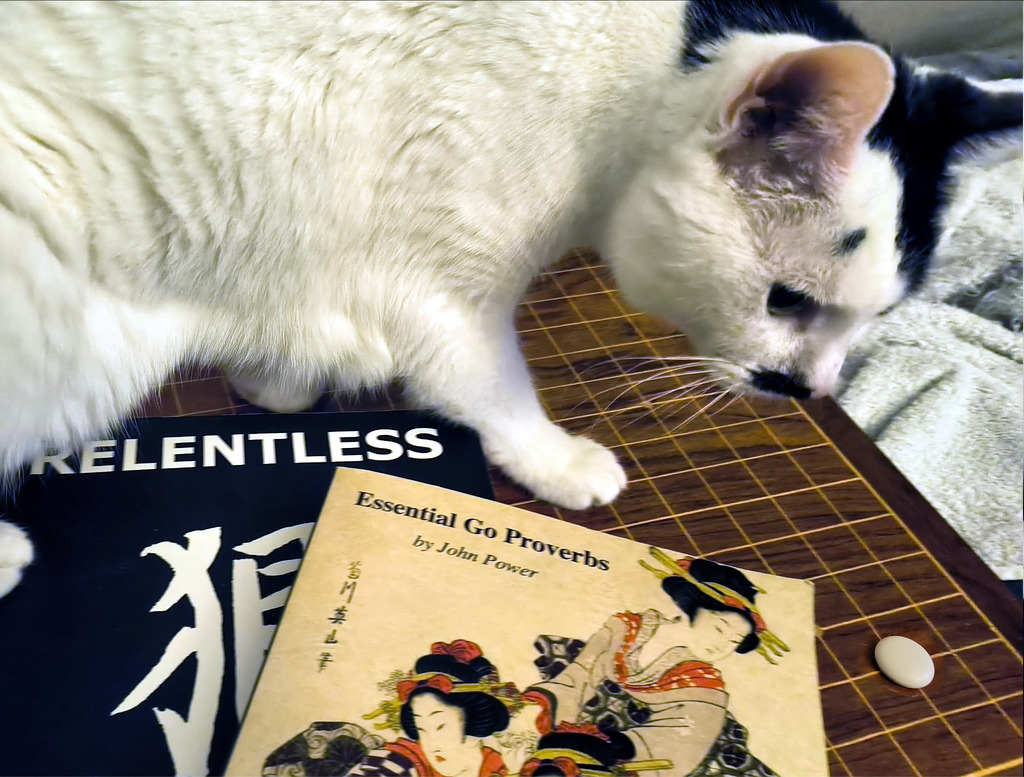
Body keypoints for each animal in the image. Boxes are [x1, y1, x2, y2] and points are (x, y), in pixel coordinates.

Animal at [0, 1, 1015, 593]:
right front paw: (555, 460)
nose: (815, 391)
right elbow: (491, 387)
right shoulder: (441, 288)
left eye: (875, 321)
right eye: (788, 301)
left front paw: (274, 385)